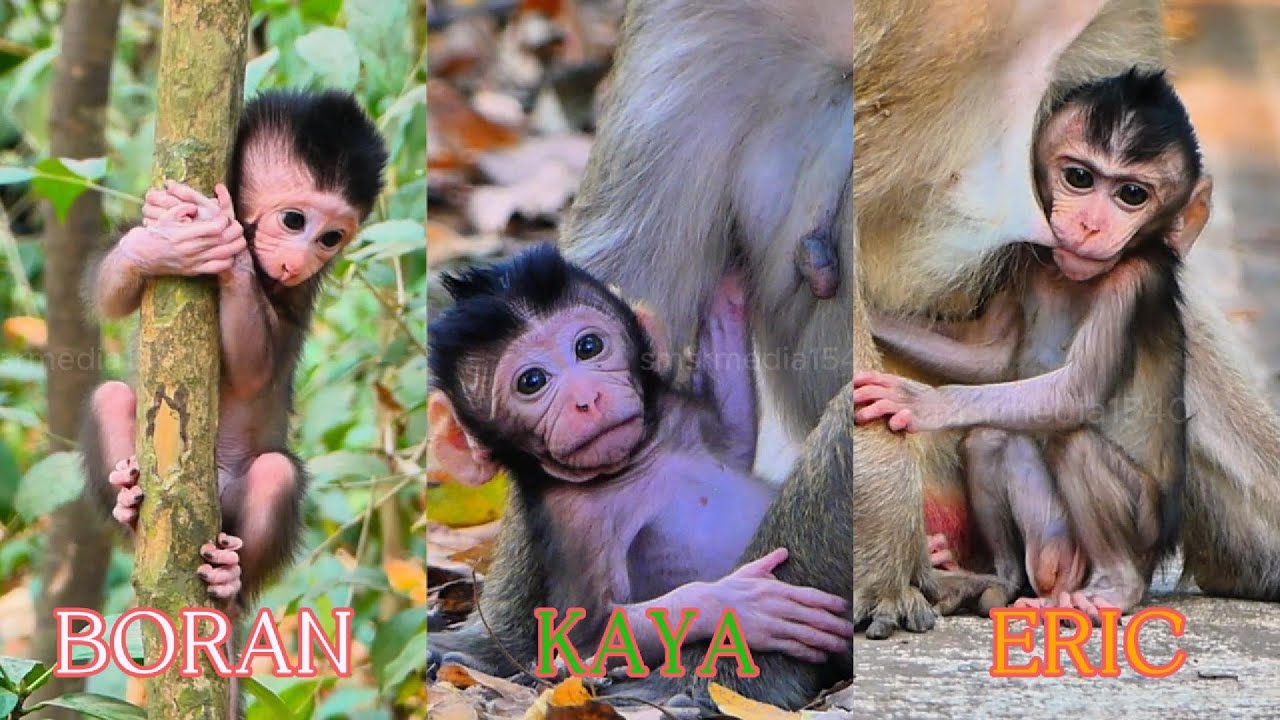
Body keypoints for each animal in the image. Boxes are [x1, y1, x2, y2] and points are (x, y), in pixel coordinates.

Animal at [79, 89, 387, 612]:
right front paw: (159, 244)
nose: (299, 260)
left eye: (331, 238)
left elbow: (256, 371)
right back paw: (126, 505)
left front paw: (232, 250)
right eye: (294, 221)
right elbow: (108, 293)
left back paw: (230, 580)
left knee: (276, 473)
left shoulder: (297, 293)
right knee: (110, 397)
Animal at [426, 243, 855, 674]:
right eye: (531, 382)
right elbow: (584, 638)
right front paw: (734, 604)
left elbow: (734, 430)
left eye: (588, 347)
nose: (587, 398)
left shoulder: (682, 425)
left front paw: (748, 279)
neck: (635, 465)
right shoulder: (575, 525)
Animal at [853, 69, 1212, 615]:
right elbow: (991, 358)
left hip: (1144, 528)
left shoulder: (1133, 281)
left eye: (1132, 194)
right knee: (989, 438)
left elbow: (1076, 393)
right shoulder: (1027, 256)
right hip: (1052, 538)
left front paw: (924, 403)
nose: (1089, 225)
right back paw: (996, 580)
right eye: (1079, 178)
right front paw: (871, 312)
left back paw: (1115, 587)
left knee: (1073, 440)